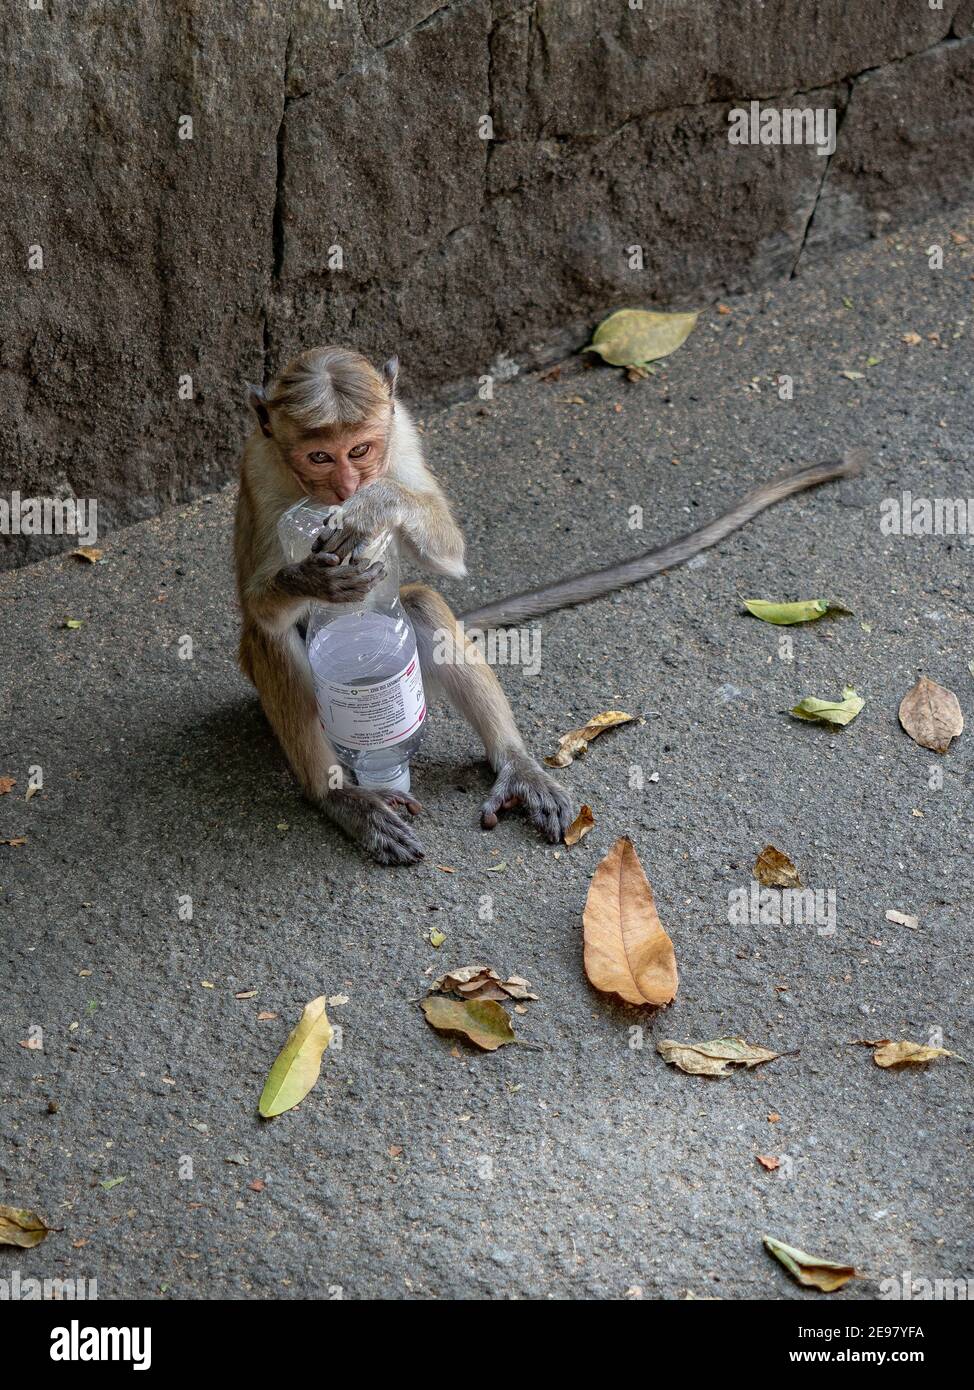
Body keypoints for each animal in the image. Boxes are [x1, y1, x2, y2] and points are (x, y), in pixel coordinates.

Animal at [234, 346, 574, 867]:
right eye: (319, 456)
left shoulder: (404, 433)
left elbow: (450, 551)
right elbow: (258, 607)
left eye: (359, 450)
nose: (347, 486)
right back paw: (342, 797)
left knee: (422, 604)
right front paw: (313, 578)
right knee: (270, 637)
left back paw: (517, 766)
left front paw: (376, 503)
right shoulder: (258, 467)